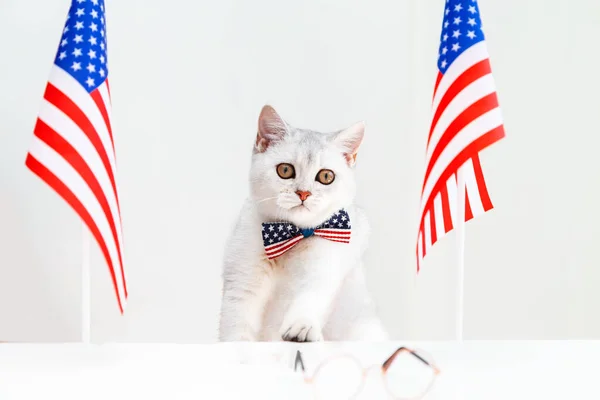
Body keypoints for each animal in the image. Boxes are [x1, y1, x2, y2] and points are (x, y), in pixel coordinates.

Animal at [218, 105, 386, 340]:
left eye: (326, 176)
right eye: (285, 170)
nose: (303, 193)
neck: (291, 237)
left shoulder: (325, 266)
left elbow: (310, 298)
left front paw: (301, 326)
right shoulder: (242, 279)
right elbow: (236, 323)